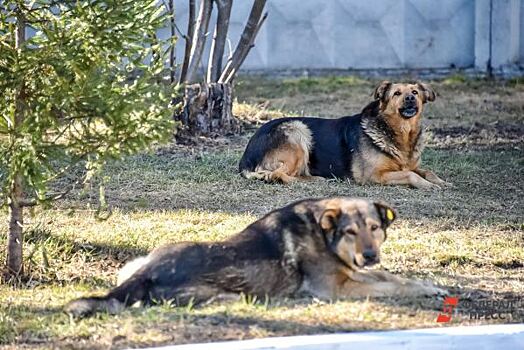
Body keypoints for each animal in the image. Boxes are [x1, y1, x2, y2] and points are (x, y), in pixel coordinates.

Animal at [63, 197, 444, 318]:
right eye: (351, 231)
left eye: (374, 228)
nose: (369, 254)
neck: (324, 233)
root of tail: (149, 271)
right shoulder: (337, 289)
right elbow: (390, 287)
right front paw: (421, 290)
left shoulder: (355, 272)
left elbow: (392, 277)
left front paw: (431, 285)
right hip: (224, 293)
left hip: (138, 260)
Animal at [239, 80, 448, 189]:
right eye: (397, 93)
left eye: (415, 92)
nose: (410, 98)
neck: (400, 133)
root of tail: (245, 158)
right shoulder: (374, 176)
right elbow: (410, 175)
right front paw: (429, 185)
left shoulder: (410, 166)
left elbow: (426, 171)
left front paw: (442, 181)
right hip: (298, 130)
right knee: (276, 174)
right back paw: (314, 180)